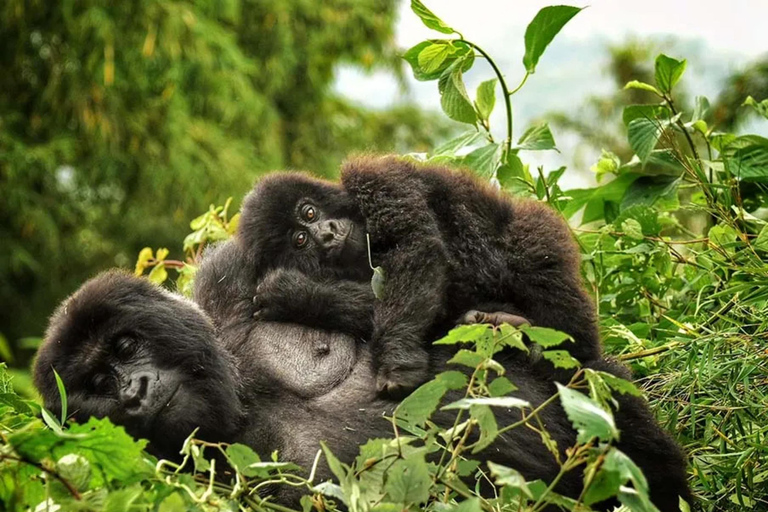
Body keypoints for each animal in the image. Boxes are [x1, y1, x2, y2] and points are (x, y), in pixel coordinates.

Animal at [240, 155, 600, 392]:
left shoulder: (375, 179)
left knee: (535, 256)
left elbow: (416, 246)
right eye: (300, 240)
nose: (326, 235)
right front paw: (297, 297)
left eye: (309, 212)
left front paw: (397, 363)